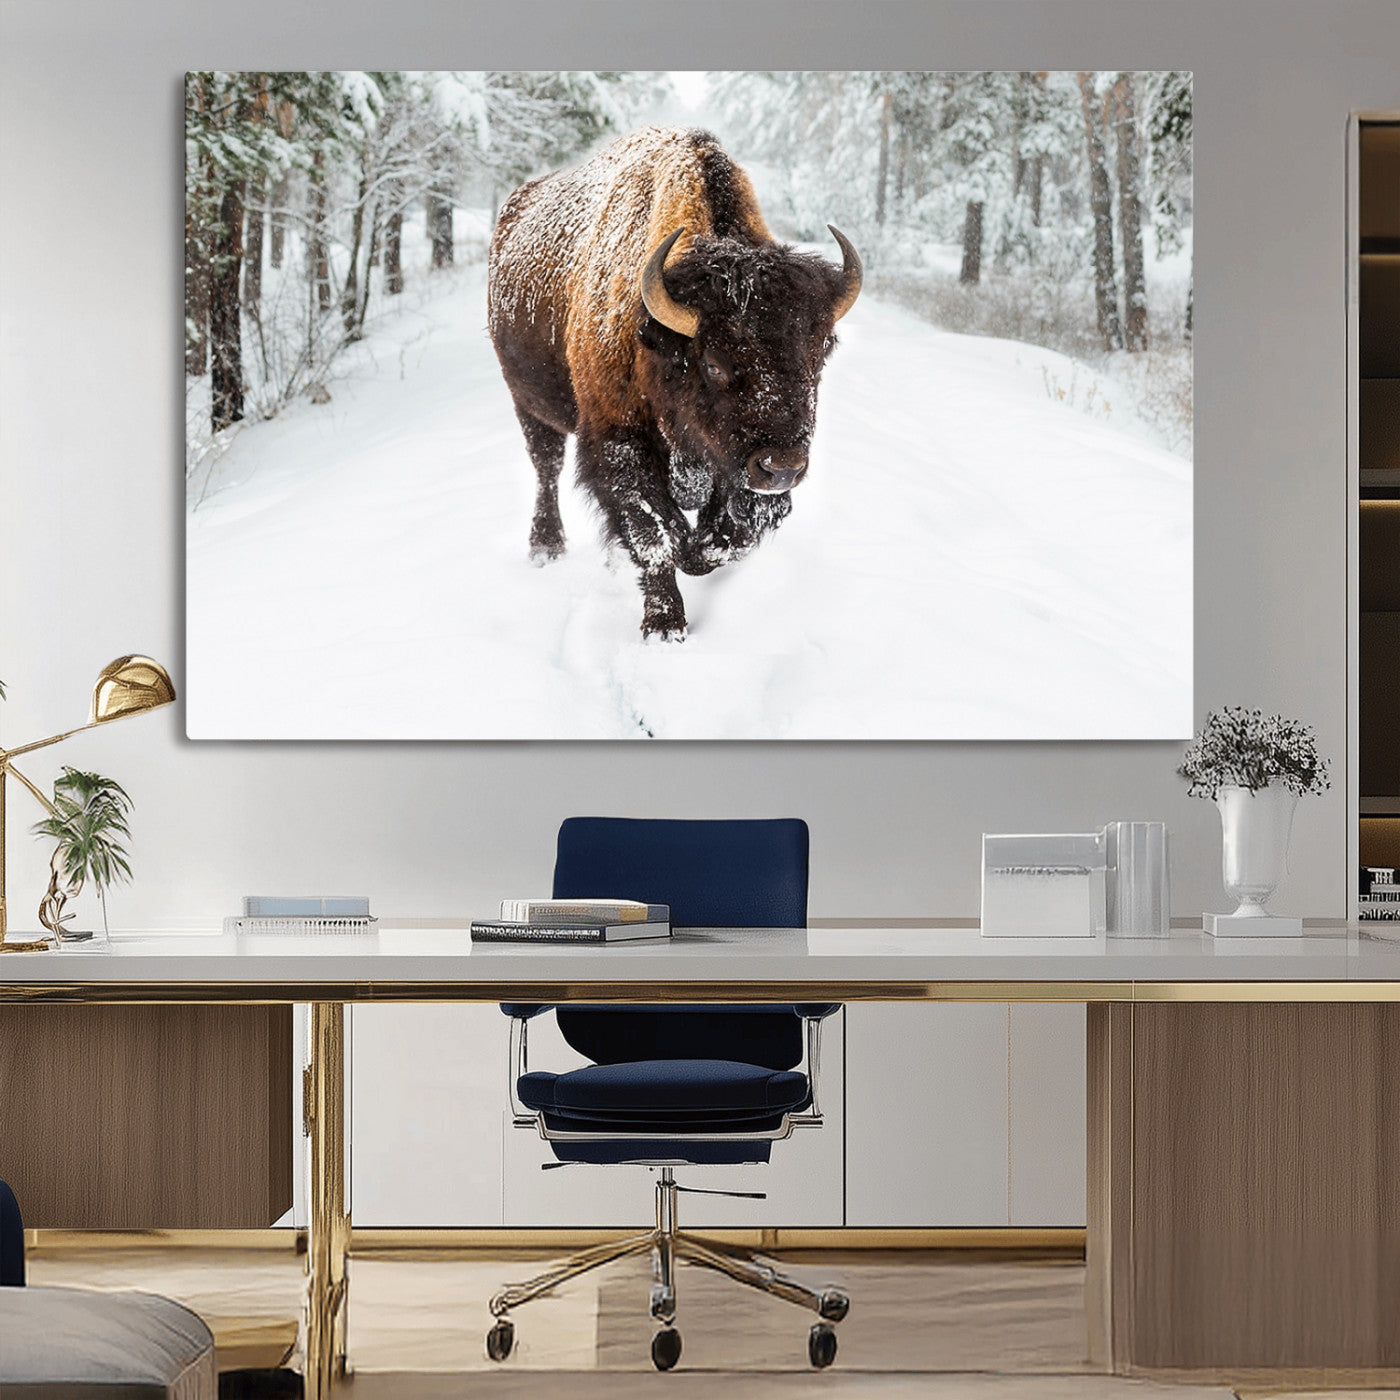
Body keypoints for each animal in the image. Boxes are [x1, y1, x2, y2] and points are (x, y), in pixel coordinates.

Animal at [487, 126, 861, 639]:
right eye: (715, 364)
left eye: (820, 352)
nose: (782, 467)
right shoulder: (619, 442)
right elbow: (656, 535)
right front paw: (664, 626)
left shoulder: (732, 467)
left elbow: (728, 536)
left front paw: (697, 551)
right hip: (527, 402)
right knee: (546, 466)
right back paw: (546, 547)